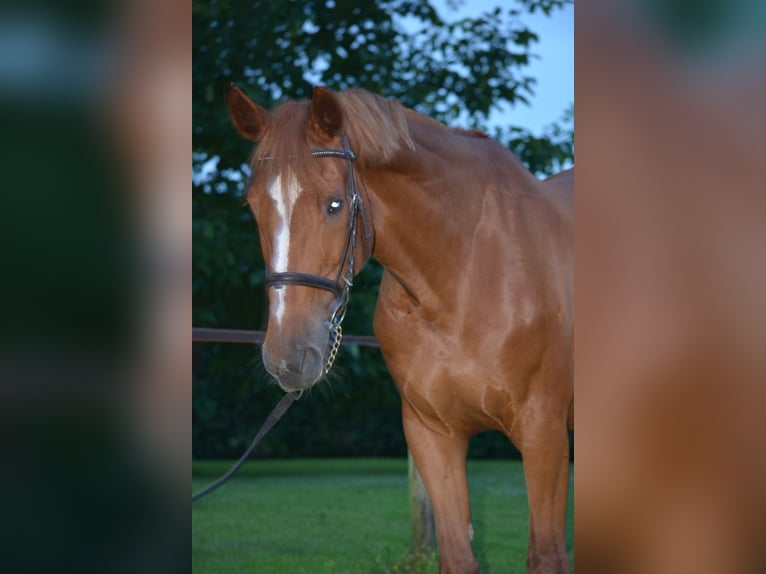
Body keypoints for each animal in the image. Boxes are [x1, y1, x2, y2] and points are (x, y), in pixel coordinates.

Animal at [225, 83, 572, 572]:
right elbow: (457, 556)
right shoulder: (433, 435)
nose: (287, 357)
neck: (465, 275)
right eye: (254, 208)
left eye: (335, 204)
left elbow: (546, 556)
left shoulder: (544, 435)